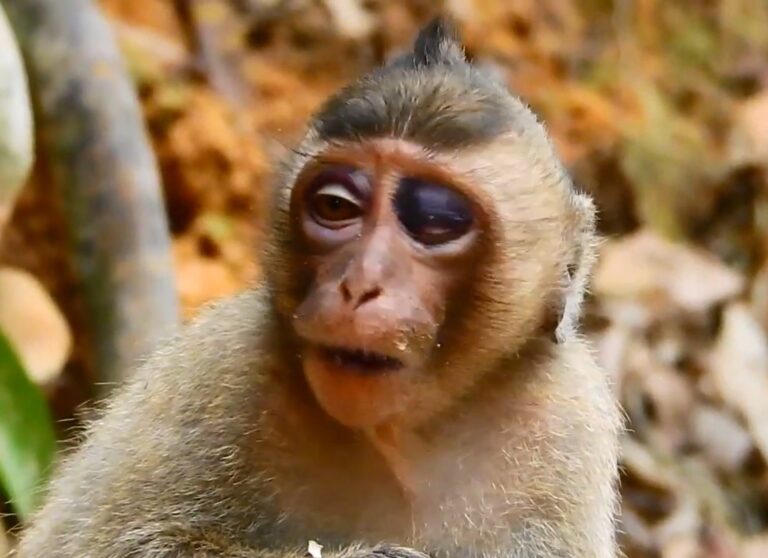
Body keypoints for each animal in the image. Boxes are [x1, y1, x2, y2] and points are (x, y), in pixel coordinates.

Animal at [16, 17, 621, 558]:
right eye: (335, 206)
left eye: (435, 221)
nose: (359, 284)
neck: (404, 436)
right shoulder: (219, 367)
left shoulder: (566, 427)